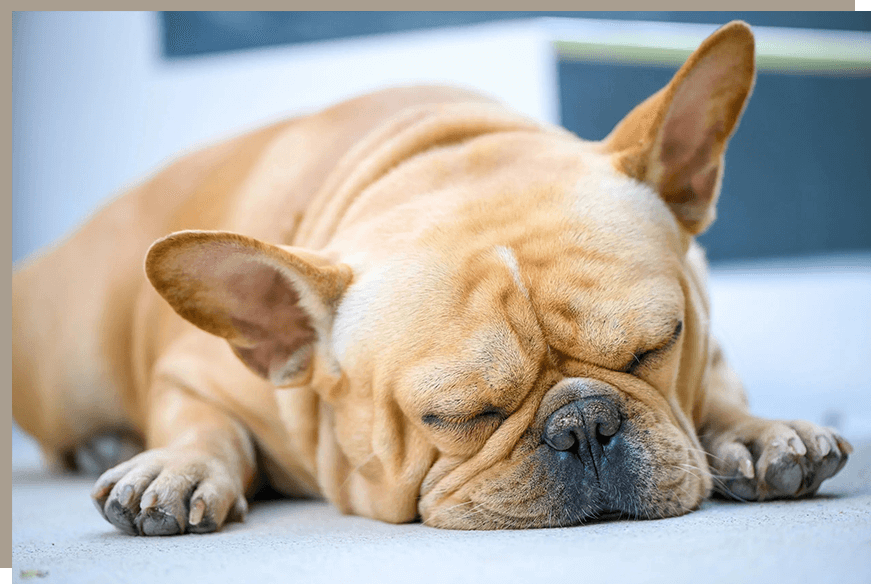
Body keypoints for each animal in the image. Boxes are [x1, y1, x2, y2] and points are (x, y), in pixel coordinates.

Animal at [11, 21, 852, 532]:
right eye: (454, 416)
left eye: (656, 347)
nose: (583, 423)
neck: (439, 151)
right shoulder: (192, 375)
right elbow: (200, 424)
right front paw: (180, 468)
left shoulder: (704, 326)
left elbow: (715, 386)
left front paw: (754, 430)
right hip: (66, 374)